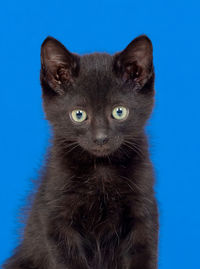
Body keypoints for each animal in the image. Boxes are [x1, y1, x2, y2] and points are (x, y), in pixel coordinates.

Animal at [3, 34, 159, 266]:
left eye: (119, 112)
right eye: (79, 114)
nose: (101, 138)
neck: (101, 170)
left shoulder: (144, 212)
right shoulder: (55, 217)